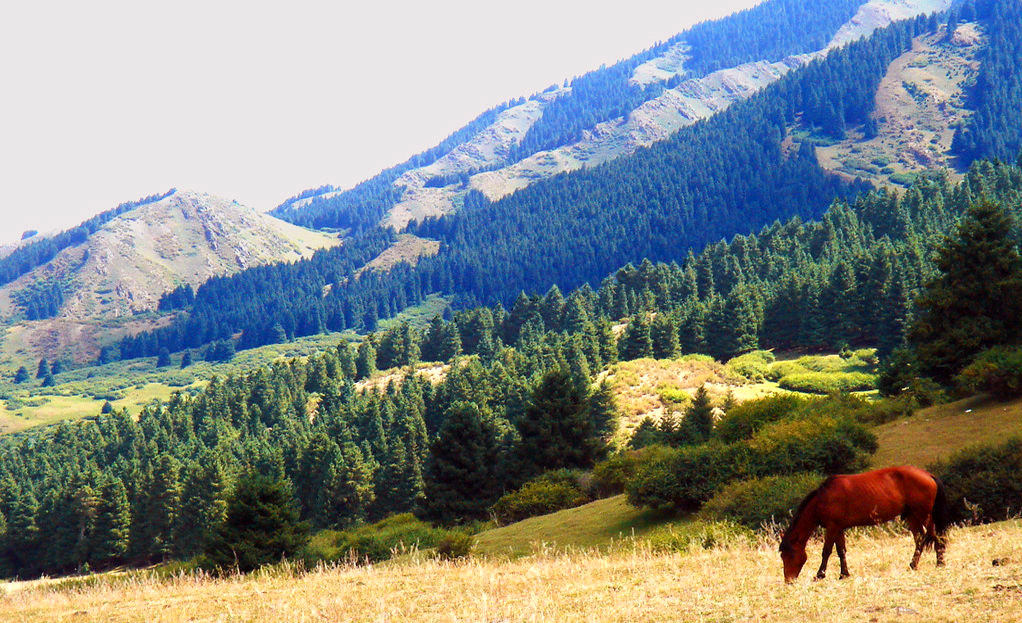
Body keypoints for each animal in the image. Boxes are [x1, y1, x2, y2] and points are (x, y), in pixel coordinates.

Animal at [780, 463, 948, 580]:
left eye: (790, 555)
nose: (788, 581)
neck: (822, 498)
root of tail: (928, 475)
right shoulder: (838, 528)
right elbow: (841, 551)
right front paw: (844, 574)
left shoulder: (832, 527)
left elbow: (826, 551)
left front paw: (820, 575)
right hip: (911, 516)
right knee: (920, 538)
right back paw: (914, 565)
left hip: (924, 514)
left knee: (935, 535)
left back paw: (940, 563)